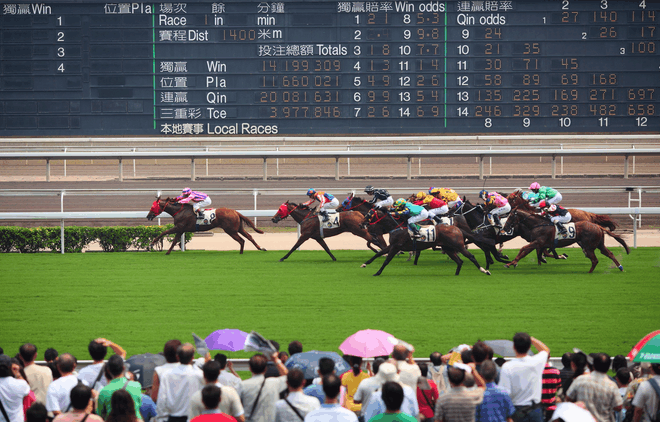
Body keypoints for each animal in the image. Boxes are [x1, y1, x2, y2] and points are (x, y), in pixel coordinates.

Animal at [500, 209, 628, 274]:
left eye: (510, 217)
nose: (504, 228)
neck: (538, 224)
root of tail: (597, 226)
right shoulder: (540, 243)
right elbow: (533, 252)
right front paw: (513, 263)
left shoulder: (538, 242)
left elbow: (523, 249)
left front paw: (511, 263)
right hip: (599, 244)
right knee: (608, 253)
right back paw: (620, 267)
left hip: (588, 246)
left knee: (595, 260)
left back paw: (589, 272)